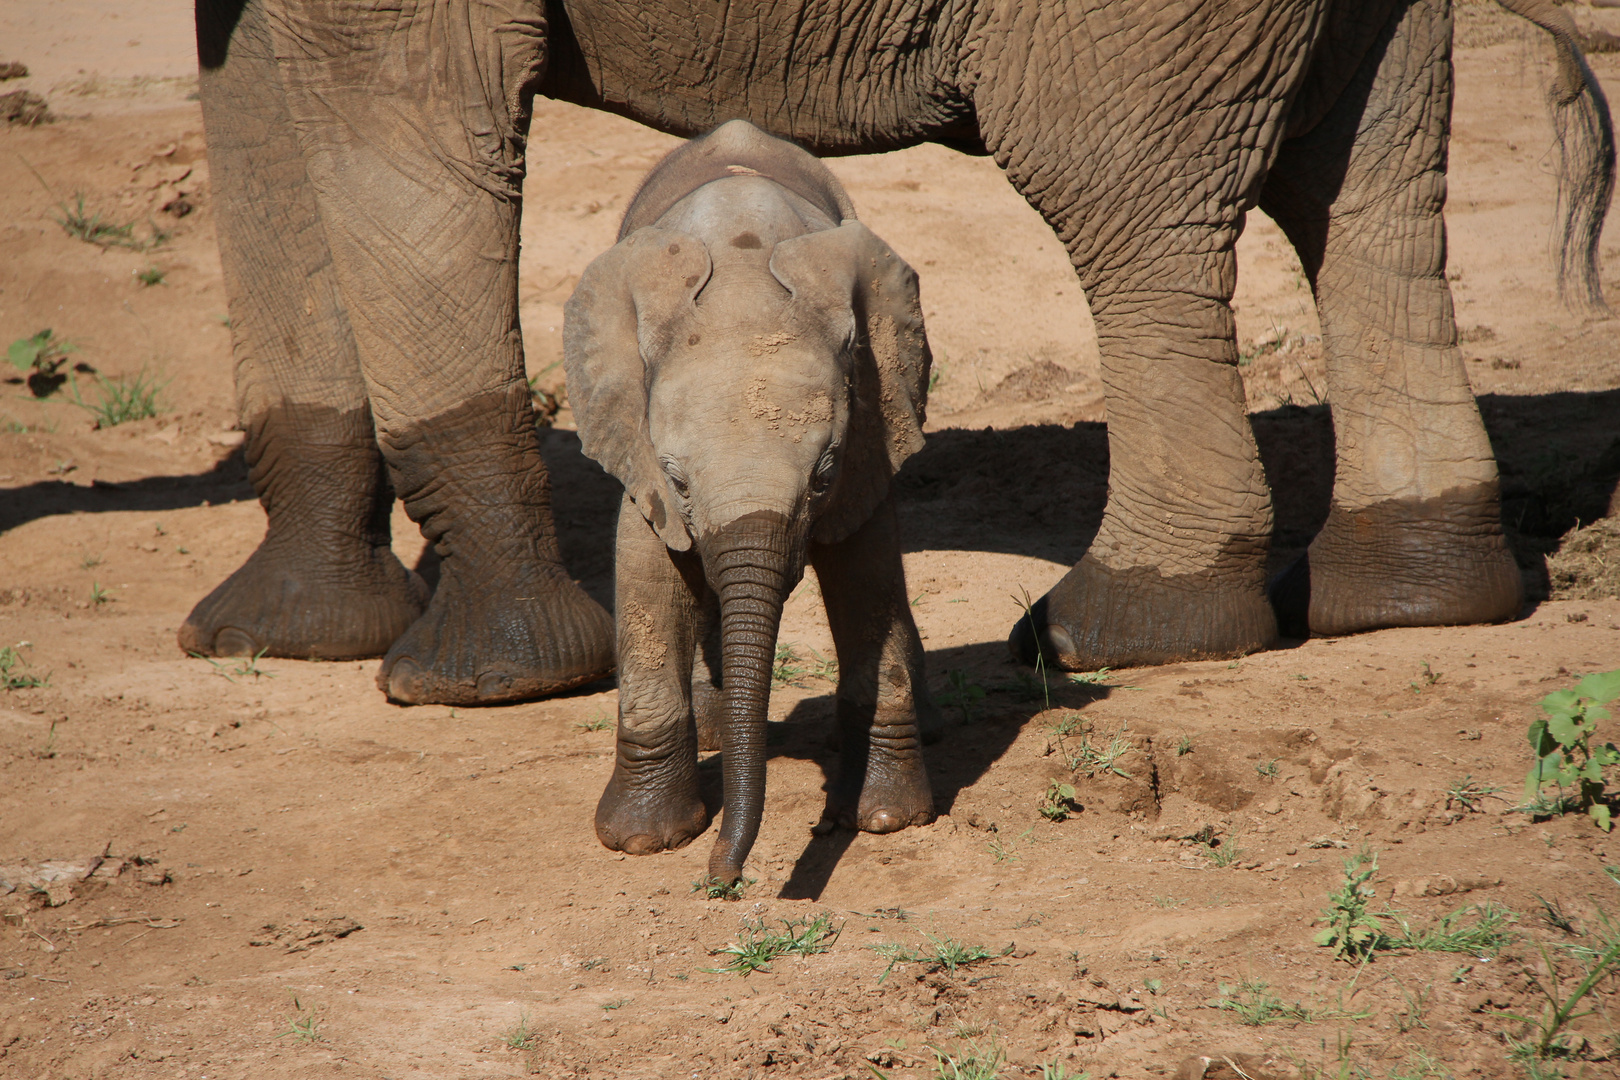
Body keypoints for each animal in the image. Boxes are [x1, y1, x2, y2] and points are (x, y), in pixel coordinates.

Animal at [186, 0, 1607, 702]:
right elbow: (249, 99)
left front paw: (480, 680)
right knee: (1364, 188)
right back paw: (1408, 594)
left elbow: (400, 104)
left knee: (1132, 204)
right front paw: (278, 637)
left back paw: (1111, 632)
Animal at [567, 120, 939, 887]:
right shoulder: (634, 439)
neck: (743, 274)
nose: (723, 879)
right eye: (678, 481)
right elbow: (647, 568)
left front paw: (886, 818)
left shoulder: (871, 426)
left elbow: (867, 575)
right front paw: (643, 841)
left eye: (823, 475)